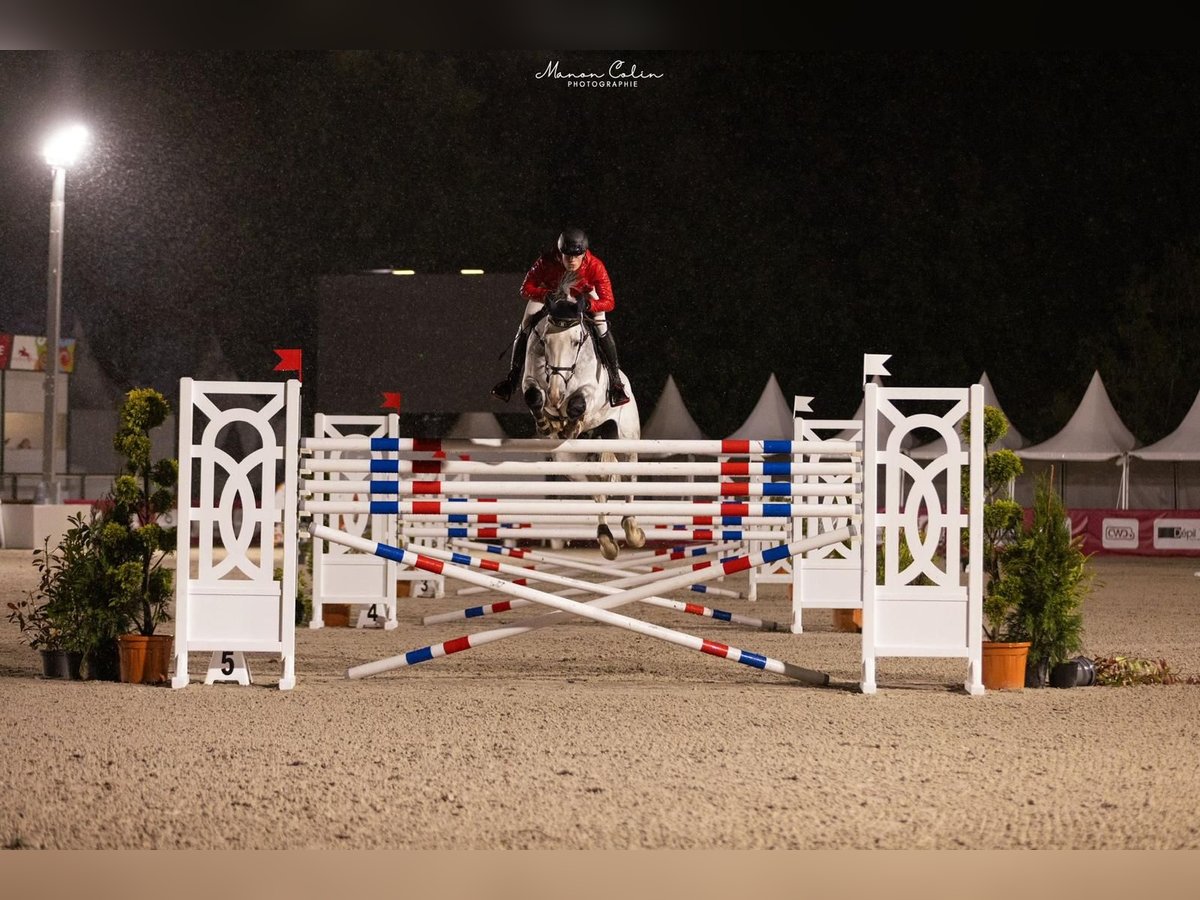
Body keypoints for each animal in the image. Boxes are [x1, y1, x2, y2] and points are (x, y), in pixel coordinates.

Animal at [521, 289, 646, 561]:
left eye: (576, 342)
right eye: (545, 341)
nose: (556, 394)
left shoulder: (591, 391)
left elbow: (579, 402)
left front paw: (569, 423)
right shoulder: (532, 381)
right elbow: (534, 397)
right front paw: (548, 424)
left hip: (627, 441)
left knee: (629, 477)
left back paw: (632, 530)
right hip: (570, 463)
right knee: (598, 489)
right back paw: (606, 539)